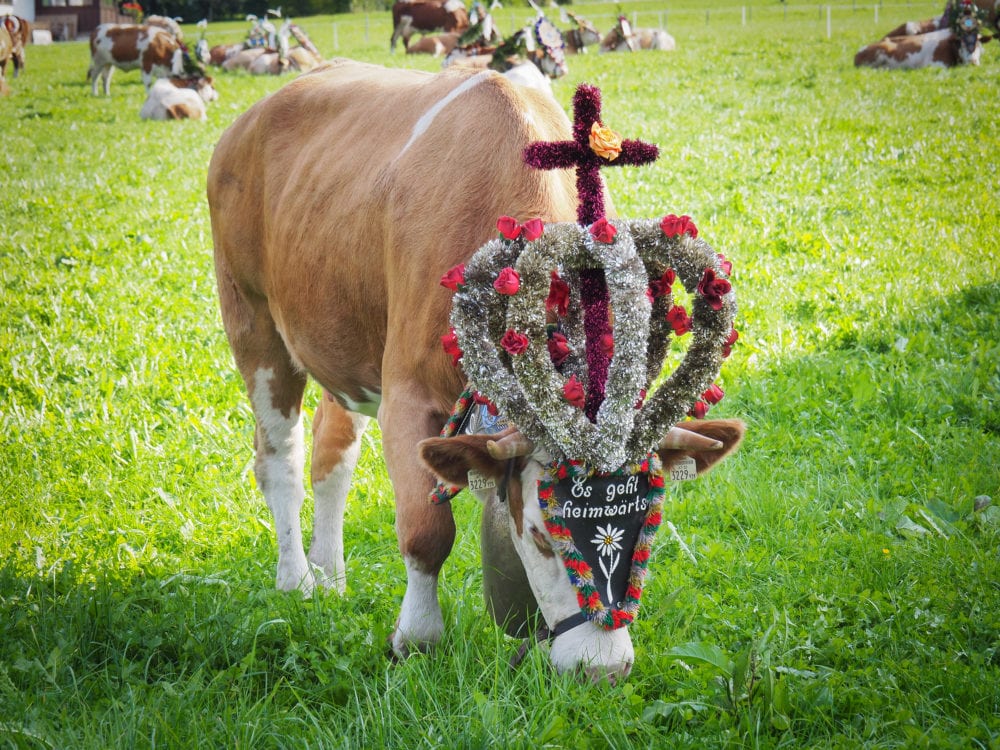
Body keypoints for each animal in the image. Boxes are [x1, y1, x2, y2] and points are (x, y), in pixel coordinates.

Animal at [209, 61, 744, 684]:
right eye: (541, 533)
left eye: (648, 522)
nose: (602, 669)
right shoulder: (406, 393)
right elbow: (426, 530)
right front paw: (415, 638)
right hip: (252, 320)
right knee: (280, 460)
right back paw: (296, 581)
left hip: (341, 336)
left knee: (331, 454)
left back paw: (330, 576)